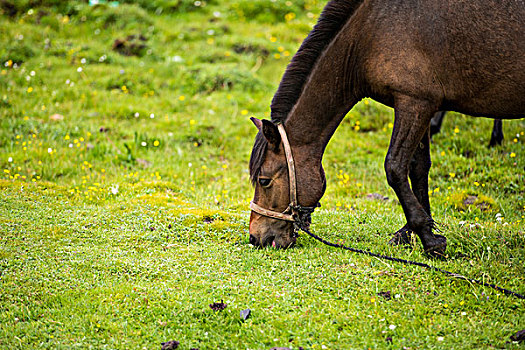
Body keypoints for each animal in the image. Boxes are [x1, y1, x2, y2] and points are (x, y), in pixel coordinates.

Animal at [247, 0, 524, 254]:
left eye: (264, 181)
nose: (255, 237)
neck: (368, 34)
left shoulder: (414, 103)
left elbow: (395, 167)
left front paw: (428, 238)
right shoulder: (424, 106)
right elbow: (418, 167)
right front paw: (415, 230)